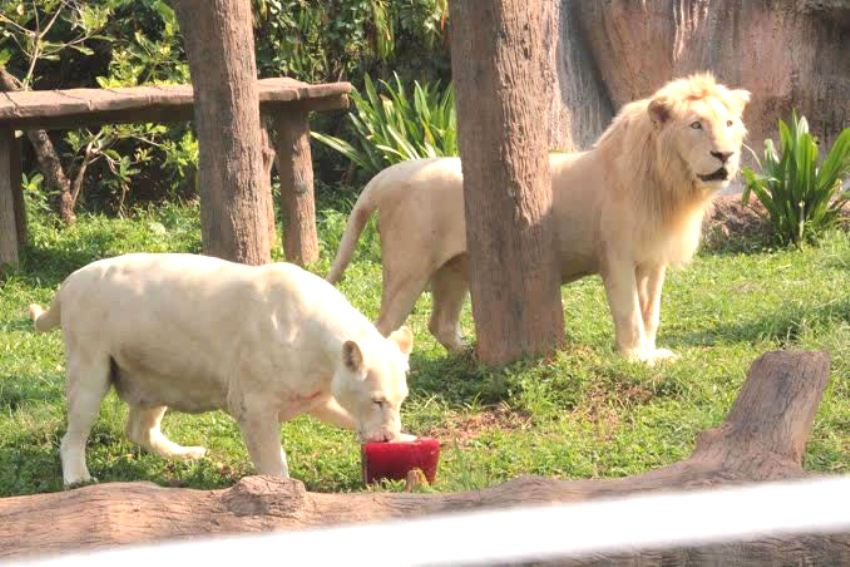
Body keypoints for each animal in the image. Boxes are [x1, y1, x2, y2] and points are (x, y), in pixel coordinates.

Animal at [326, 74, 748, 364]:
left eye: (728, 124)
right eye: (696, 125)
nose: (724, 156)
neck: (669, 185)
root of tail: (388, 174)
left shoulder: (652, 258)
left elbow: (651, 312)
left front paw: (653, 353)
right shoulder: (617, 255)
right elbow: (629, 312)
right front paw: (634, 359)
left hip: (454, 270)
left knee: (440, 323)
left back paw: (468, 353)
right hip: (408, 268)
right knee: (382, 326)